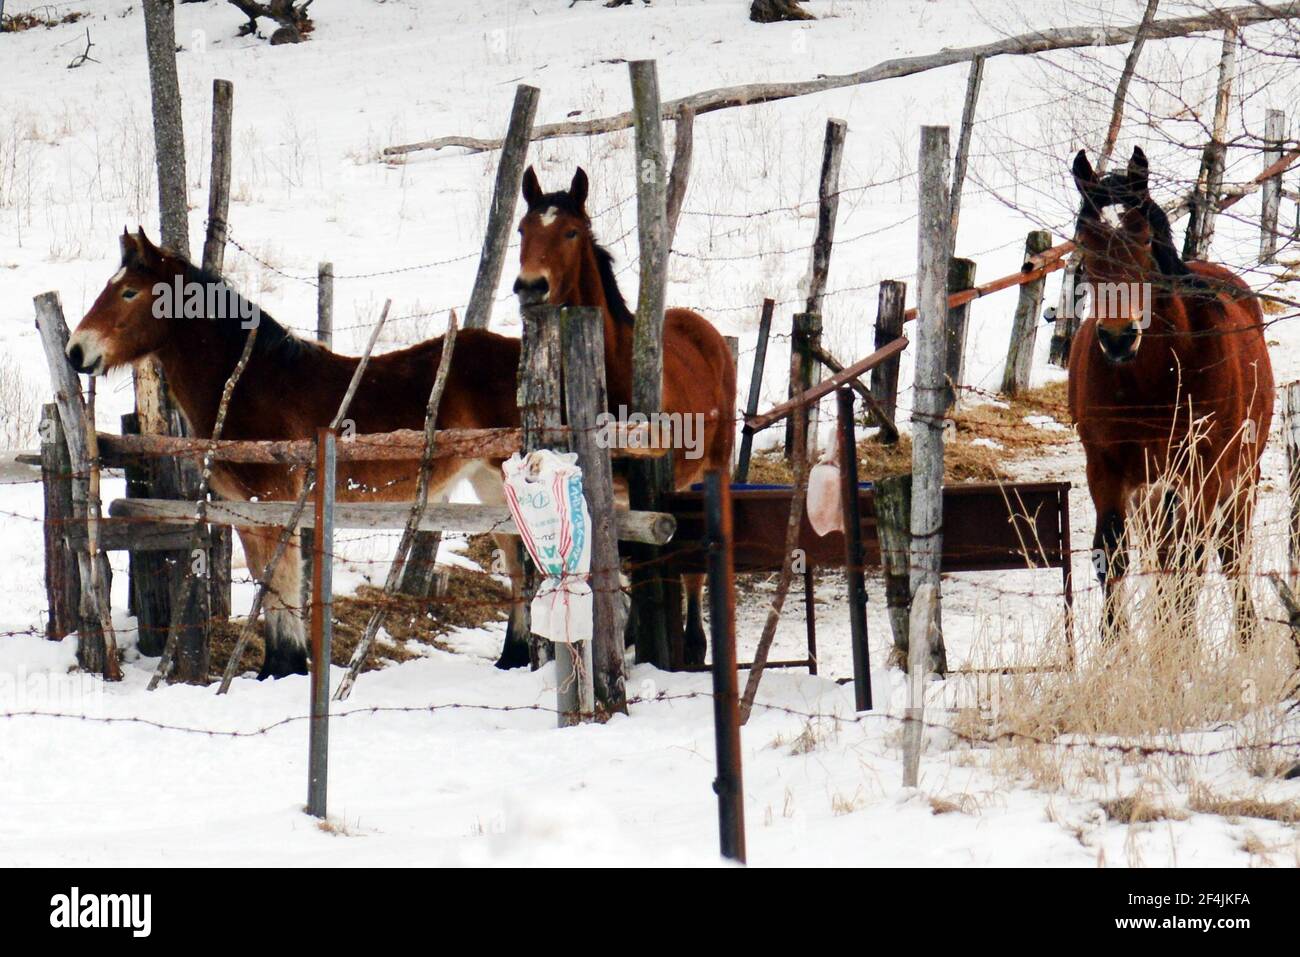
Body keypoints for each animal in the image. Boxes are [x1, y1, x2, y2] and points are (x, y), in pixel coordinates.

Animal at [68, 230, 525, 681]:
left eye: (129, 292)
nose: (75, 351)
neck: (250, 383)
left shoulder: (275, 505)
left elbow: (282, 582)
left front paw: (285, 667)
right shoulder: (246, 512)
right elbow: (266, 582)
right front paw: (278, 664)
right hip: (488, 484)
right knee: (517, 559)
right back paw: (516, 656)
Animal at [509, 167, 738, 665]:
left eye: (571, 232)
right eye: (522, 229)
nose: (531, 286)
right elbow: (619, 557)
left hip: (711, 464)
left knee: (693, 565)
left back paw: (694, 642)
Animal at [1071, 147, 1274, 634]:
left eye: (1145, 239)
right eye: (1084, 241)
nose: (1118, 337)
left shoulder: (1203, 474)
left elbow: (1191, 562)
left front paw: (1183, 644)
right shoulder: (1105, 469)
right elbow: (1112, 557)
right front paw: (1116, 646)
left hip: (1239, 476)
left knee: (1229, 552)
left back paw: (1244, 634)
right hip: (1155, 492)